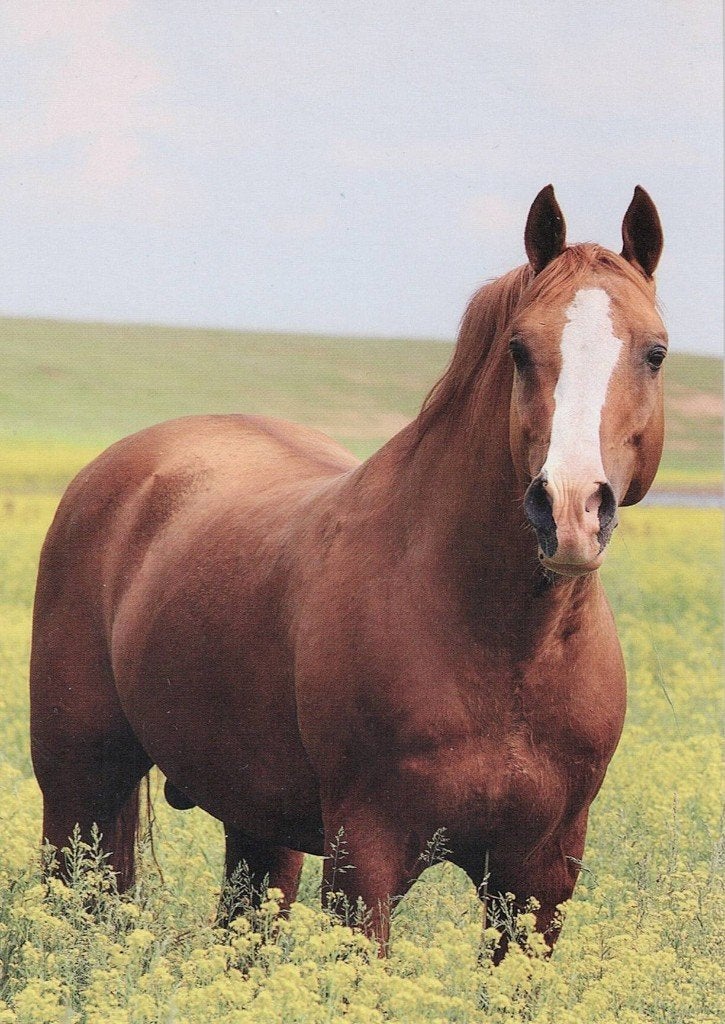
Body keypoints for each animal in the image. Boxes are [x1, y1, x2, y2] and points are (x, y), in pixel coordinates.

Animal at [30, 185, 666, 957]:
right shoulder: (366, 858)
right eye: (519, 349)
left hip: (257, 828)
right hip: (77, 790)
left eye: (655, 353)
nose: (570, 508)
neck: (504, 645)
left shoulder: (538, 878)